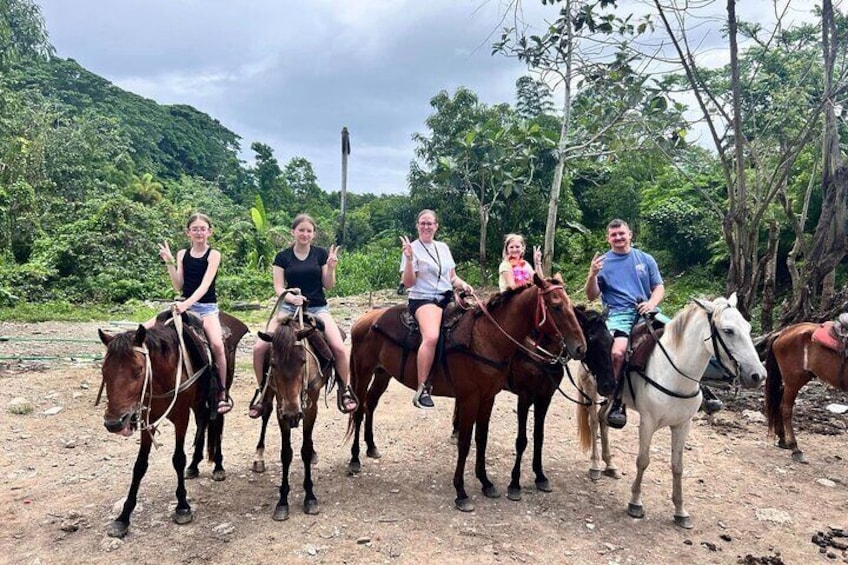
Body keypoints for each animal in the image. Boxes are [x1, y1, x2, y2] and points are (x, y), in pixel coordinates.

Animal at [100, 312, 247, 536]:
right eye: (104, 371)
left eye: (138, 370)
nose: (114, 423)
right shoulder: (148, 418)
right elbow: (139, 465)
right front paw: (123, 517)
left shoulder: (180, 416)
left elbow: (178, 459)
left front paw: (183, 507)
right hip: (198, 402)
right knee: (203, 421)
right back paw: (194, 466)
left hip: (220, 393)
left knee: (217, 423)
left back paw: (218, 466)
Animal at [253, 312, 330, 520]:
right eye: (273, 364)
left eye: (303, 361)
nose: (293, 415)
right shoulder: (282, 409)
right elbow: (286, 453)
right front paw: (282, 502)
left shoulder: (310, 407)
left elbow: (305, 449)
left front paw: (310, 497)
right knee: (265, 414)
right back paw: (258, 457)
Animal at [348, 274, 588, 512]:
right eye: (556, 306)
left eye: (572, 306)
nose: (580, 348)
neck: (486, 339)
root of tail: (364, 321)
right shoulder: (476, 398)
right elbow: (466, 443)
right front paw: (462, 492)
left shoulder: (492, 398)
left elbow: (483, 438)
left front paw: (487, 482)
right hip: (363, 372)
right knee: (358, 411)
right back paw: (354, 460)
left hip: (383, 374)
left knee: (370, 404)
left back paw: (371, 447)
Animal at [576, 294, 760, 528]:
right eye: (728, 331)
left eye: (748, 327)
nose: (758, 375)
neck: (674, 373)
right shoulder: (647, 423)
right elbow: (643, 461)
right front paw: (635, 502)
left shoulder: (683, 425)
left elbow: (677, 466)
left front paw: (680, 511)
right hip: (590, 389)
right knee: (593, 422)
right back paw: (595, 466)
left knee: (603, 419)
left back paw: (610, 465)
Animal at [760, 322, 848, 462]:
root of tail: (783, 333)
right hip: (794, 380)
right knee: (786, 408)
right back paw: (795, 448)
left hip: (798, 379)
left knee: (779, 401)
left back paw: (782, 439)